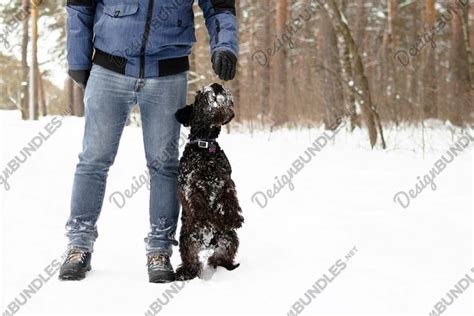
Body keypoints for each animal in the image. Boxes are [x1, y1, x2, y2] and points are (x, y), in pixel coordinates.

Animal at [176, 82, 246, 280]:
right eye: (199, 95)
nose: (216, 84)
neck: (206, 147)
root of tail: (208, 243)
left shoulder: (226, 182)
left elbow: (230, 201)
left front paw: (235, 218)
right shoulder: (189, 183)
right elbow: (197, 202)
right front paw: (204, 218)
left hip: (229, 239)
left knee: (219, 258)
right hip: (187, 243)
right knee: (191, 263)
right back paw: (184, 273)